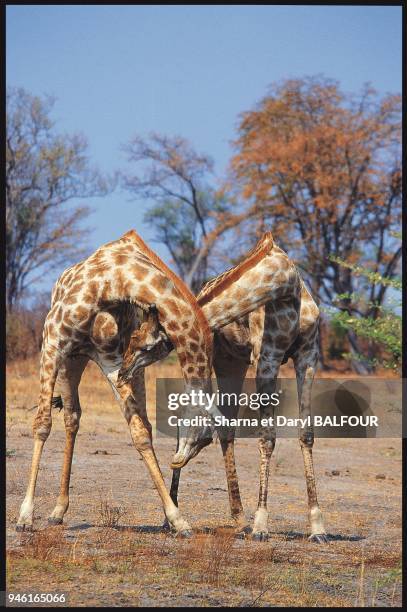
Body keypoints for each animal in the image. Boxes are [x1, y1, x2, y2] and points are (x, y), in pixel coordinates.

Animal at [14, 230, 215, 536]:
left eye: (207, 441)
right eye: (200, 434)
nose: (178, 459)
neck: (114, 282)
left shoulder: (110, 360)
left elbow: (139, 432)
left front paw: (178, 519)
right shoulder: (51, 342)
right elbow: (42, 425)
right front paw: (24, 516)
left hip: (99, 365)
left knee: (83, 418)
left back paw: (59, 511)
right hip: (70, 359)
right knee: (69, 417)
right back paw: (54, 511)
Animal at [118, 232, 328, 544]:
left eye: (142, 344)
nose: (122, 372)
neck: (287, 283)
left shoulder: (308, 357)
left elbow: (306, 434)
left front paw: (317, 527)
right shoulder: (267, 357)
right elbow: (267, 437)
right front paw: (261, 525)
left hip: (233, 363)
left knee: (224, 425)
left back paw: (238, 518)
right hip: (222, 359)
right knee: (210, 421)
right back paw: (176, 517)